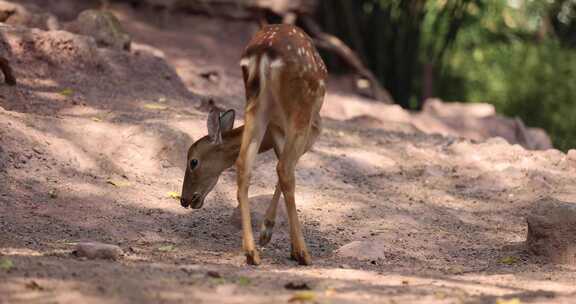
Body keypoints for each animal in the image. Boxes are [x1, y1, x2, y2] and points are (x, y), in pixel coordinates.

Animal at [180, 23, 326, 264]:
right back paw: (302, 253)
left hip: (256, 103)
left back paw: (251, 252)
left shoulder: (275, 129)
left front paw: (271, 236)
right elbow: (287, 169)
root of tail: (262, 54)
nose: (183, 199)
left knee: (244, 164)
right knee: (284, 169)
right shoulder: (310, 129)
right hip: (300, 109)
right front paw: (271, 234)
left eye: (193, 161)